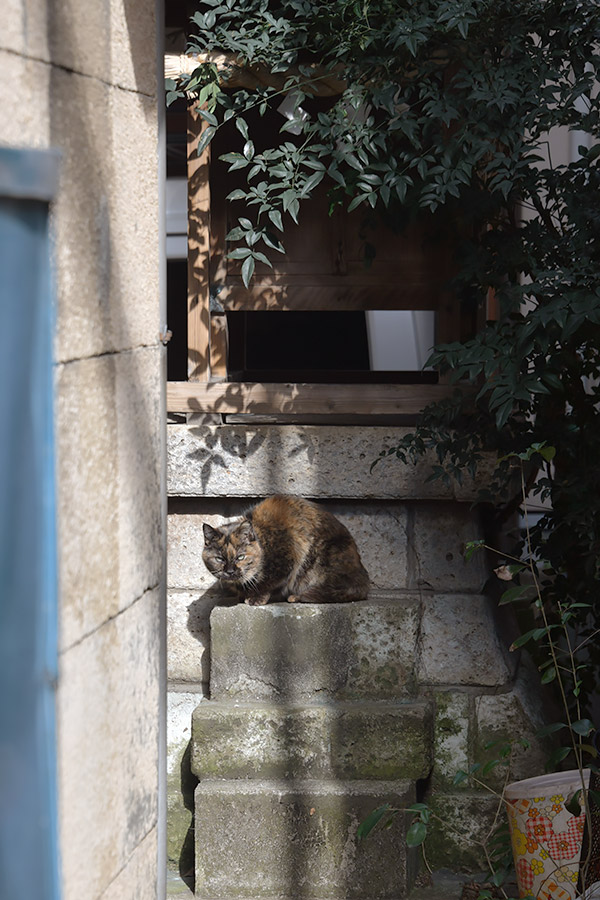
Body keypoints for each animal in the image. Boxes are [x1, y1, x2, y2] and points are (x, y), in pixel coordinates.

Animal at [203, 496, 370, 608]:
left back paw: (296, 597)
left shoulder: (289, 557)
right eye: (219, 559)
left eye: (240, 557)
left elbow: (269, 583)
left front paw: (256, 598)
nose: (230, 571)